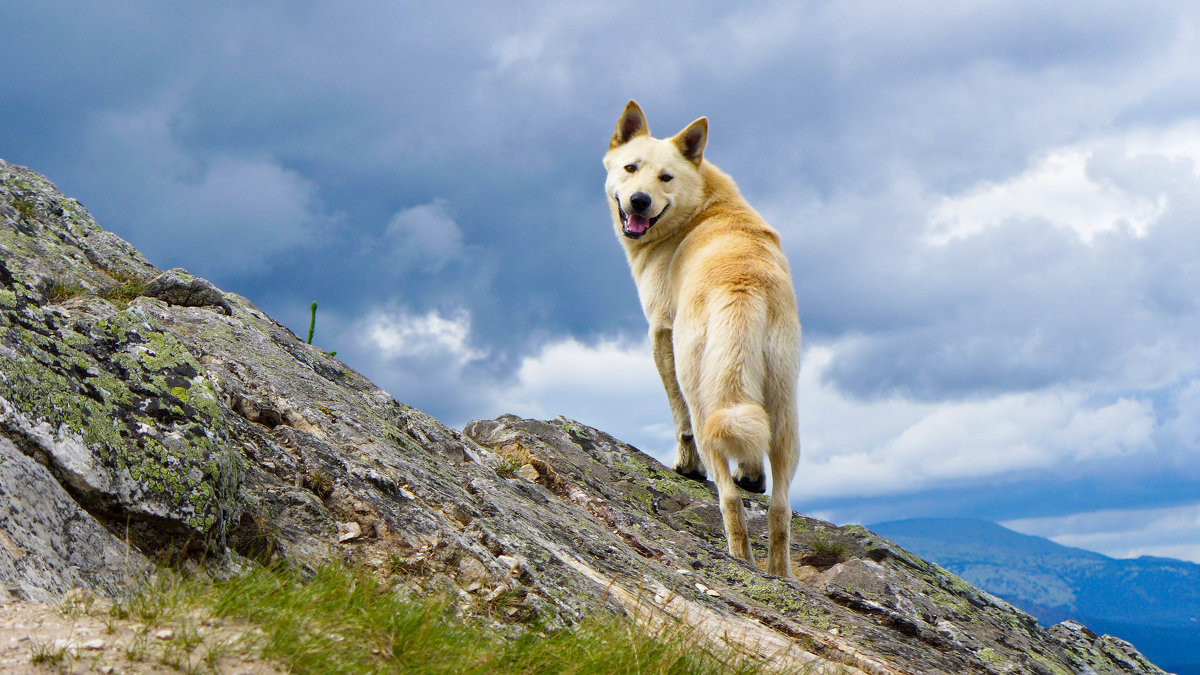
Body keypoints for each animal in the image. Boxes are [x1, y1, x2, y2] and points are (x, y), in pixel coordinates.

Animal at [604, 99, 801, 571]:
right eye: (630, 167)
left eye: (665, 177)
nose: (639, 201)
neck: (699, 206)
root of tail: (743, 286)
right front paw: (752, 475)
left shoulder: (660, 334)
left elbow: (676, 417)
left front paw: (685, 467)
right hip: (784, 411)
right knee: (780, 508)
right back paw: (778, 574)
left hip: (704, 395)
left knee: (727, 497)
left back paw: (740, 559)